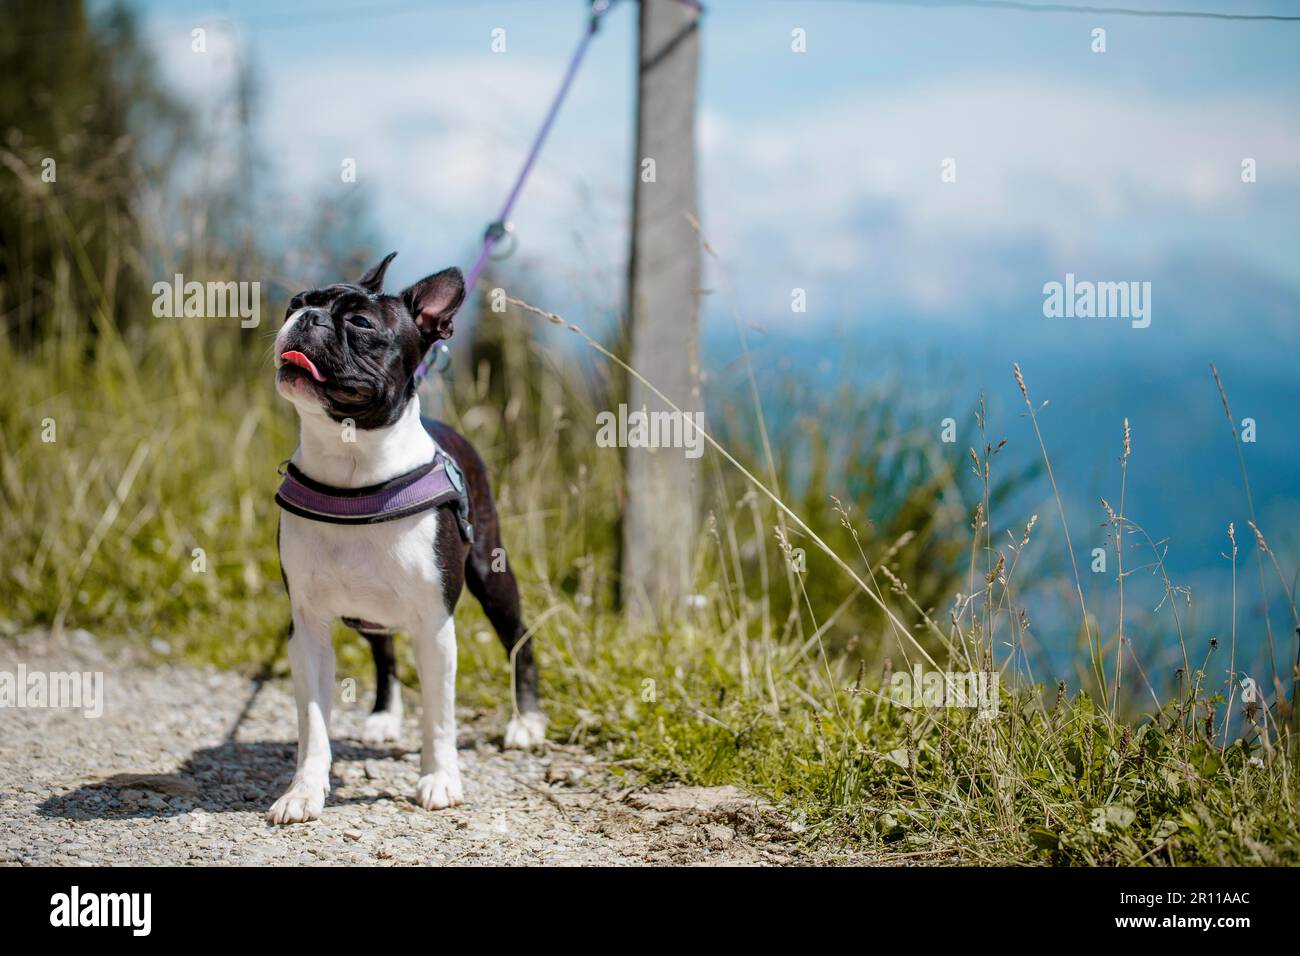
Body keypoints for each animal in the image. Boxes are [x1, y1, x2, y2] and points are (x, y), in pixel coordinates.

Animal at [269, 252, 543, 822]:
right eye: (295, 303)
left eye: (360, 322)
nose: (306, 317)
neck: (352, 467)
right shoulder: (307, 628)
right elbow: (313, 724)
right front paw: (303, 790)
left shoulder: (435, 625)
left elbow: (438, 717)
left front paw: (439, 779)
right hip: (366, 611)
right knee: (384, 651)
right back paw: (383, 716)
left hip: (492, 575)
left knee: (519, 639)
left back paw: (526, 722)